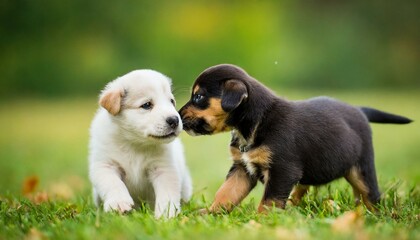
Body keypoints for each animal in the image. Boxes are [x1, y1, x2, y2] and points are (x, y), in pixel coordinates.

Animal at [90, 68, 194, 218]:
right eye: (146, 105)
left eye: (171, 101)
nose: (175, 120)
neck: (135, 143)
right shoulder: (105, 165)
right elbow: (113, 183)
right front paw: (119, 203)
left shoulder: (163, 169)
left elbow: (167, 194)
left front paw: (166, 214)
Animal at [179, 64, 412, 214]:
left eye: (198, 97)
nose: (178, 116)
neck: (256, 122)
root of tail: (359, 109)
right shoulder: (242, 169)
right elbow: (226, 193)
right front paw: (211, 212)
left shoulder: (282, 170)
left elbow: (269, 200)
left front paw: (261, 222)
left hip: (361, 168)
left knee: (370, 194)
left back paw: (373, 214)